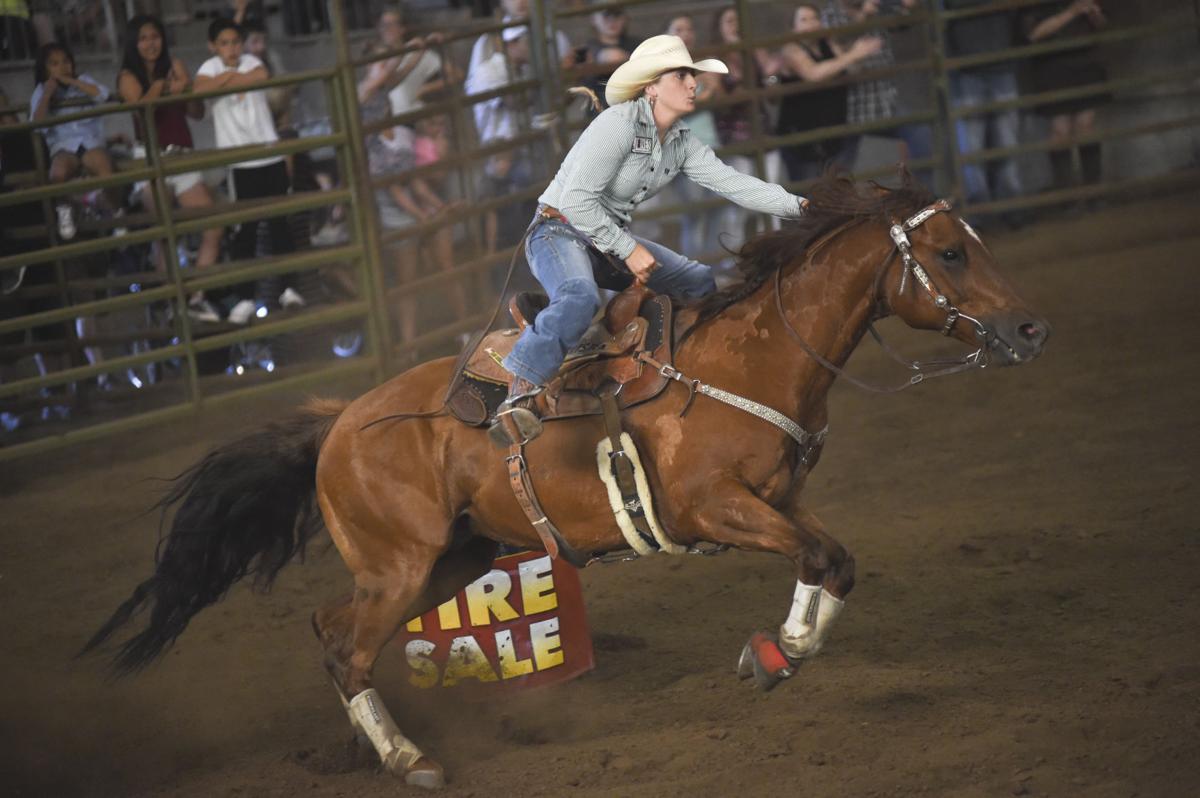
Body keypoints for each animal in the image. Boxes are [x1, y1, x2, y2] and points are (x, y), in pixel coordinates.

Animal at [84, 174, 1051, 782]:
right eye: (952, 254)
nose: (1030, 330)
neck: (754, 355)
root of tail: (339, 421)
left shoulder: (782, 501)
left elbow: (833, 561)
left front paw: (781, 651)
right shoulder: (716, 508)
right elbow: (821, 559)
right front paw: (776, 655)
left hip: (451, 557)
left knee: (333, 631)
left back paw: (363, 751)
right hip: (403, 562)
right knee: (348, 645)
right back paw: (410, 761)